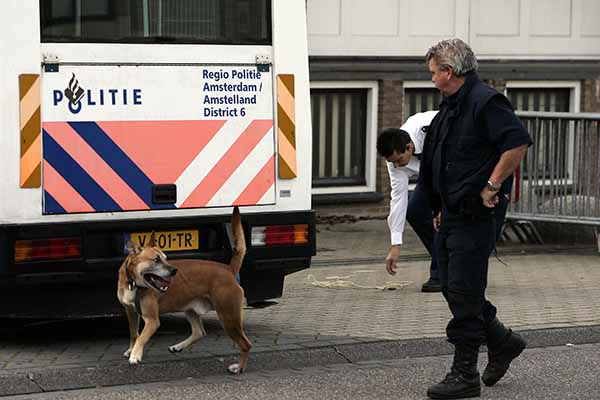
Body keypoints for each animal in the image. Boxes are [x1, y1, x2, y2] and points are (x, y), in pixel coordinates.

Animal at [116, 207, 251, 374]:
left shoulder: (152, 320)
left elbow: (141, 336)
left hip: (228, 317)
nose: (174, 270)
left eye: (166, 258)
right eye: (156, 260)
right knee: (199, 332)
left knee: (245, 344)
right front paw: (131, 349)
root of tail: (228, 269)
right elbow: (133, 333)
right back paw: (178, 346)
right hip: (191, 310)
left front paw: (135, 354)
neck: (134, 284)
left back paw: (239, 367)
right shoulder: (131, 311)